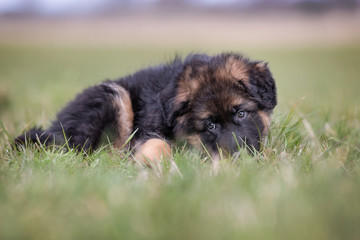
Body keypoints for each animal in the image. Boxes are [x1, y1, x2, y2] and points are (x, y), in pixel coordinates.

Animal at [15, 53, 278, 163]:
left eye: (241, 113)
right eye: (210, 125)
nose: (240, 156)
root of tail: (54, 126)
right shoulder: (146, 132)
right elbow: (157, 144)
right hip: (114, 97)